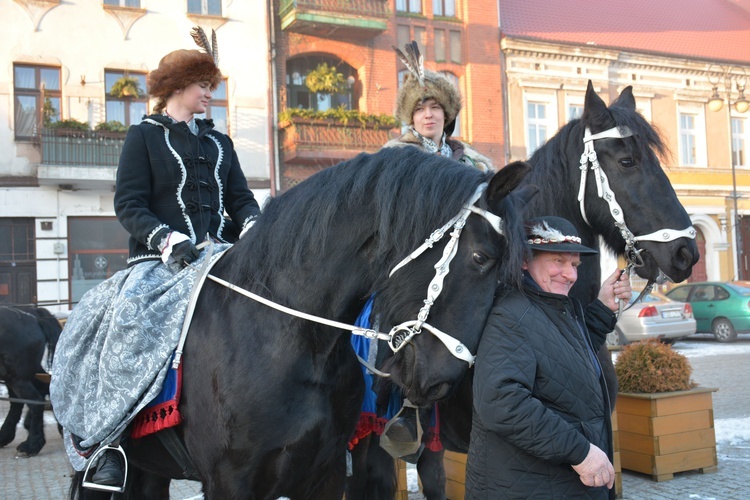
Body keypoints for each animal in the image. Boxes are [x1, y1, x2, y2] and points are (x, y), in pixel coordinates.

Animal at [0, 304, 62, 458]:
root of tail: (33, 316)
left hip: (18, 377)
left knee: (35, 401)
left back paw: (31, 444)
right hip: (13, 376)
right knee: (19, 402)